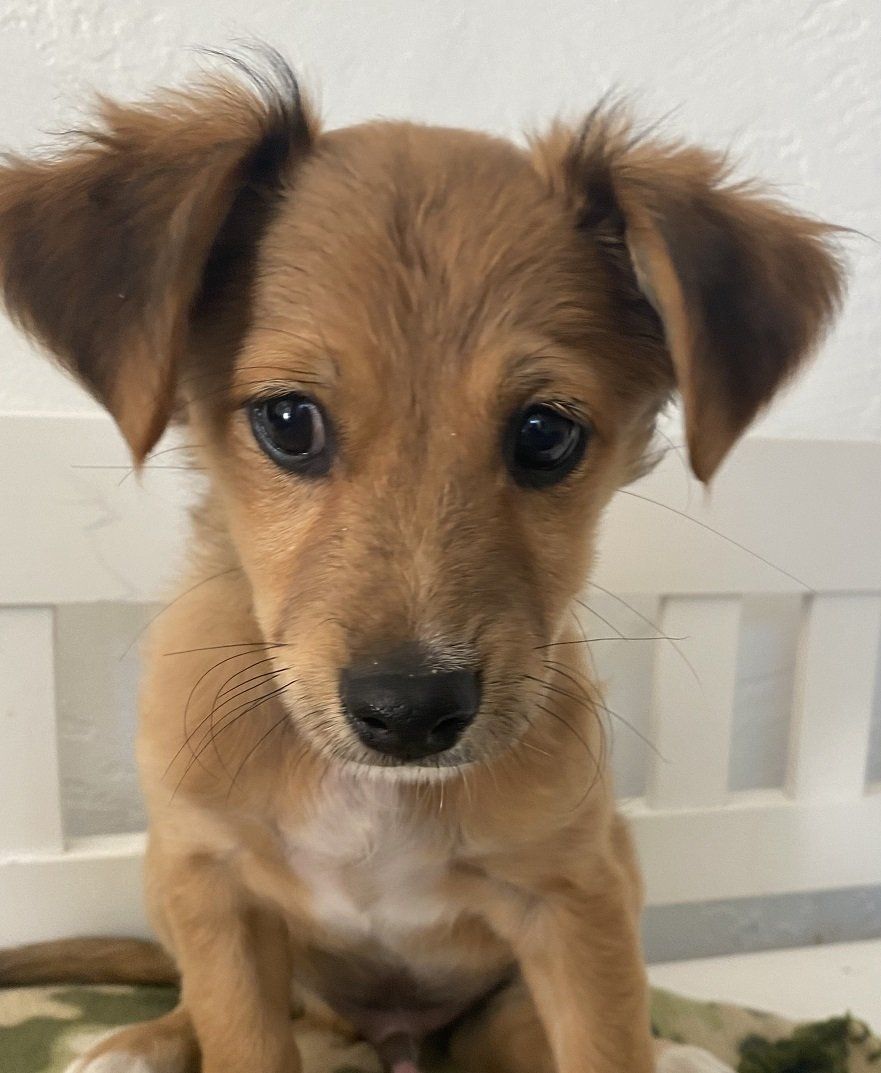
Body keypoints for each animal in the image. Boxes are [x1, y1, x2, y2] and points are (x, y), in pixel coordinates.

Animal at [0, 49, 844, 1073]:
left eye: (545, 433)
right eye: (288, 421)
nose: (409, 712)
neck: (378, 797)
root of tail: (387, 1036)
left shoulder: (577, 898)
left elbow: (610, 1043)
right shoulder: (215, 889)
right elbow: (240, 1031)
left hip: (514, 995)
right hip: (171, 879)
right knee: (203, 997)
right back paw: (142, 1041)